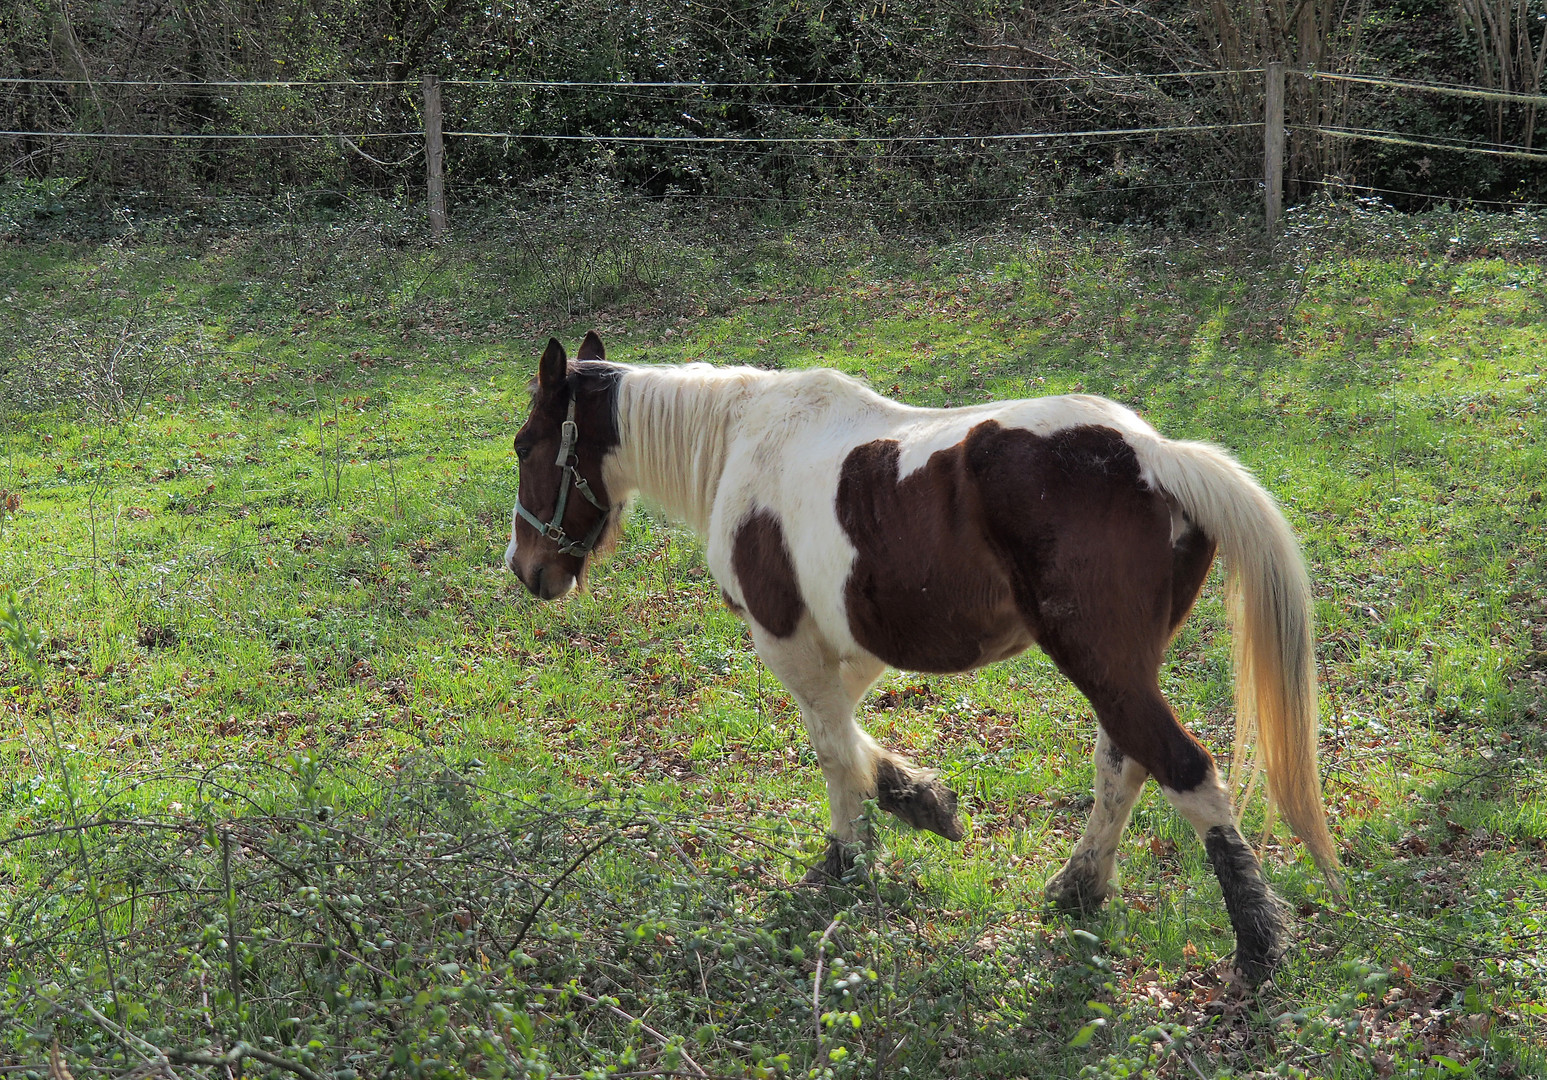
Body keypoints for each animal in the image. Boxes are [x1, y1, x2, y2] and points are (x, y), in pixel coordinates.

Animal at [507, 332, 1342, 977]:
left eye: (525, 445)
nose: (527, 571)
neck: (740, 439)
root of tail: (1154, 455)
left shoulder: (785, 640)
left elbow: (830, 748)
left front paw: (846, 857)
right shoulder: (851, 641)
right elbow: (850, 735)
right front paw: (919, 800)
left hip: (1100, 665)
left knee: (1183, 768)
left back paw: (1257, 944)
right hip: (1120, 669)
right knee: (1123, 762)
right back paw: (1077, 888)